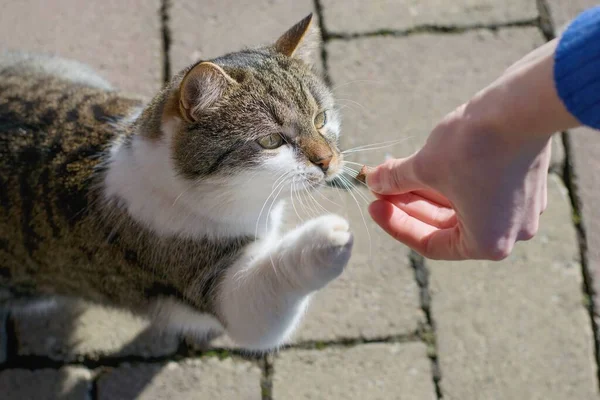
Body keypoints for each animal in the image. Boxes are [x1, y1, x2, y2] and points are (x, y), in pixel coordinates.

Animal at [0, 13, 352, 350]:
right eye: (270, 141)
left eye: (320, 119)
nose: (326, 160)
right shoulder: (206, 278)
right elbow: (261, 301)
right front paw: (327, 238)